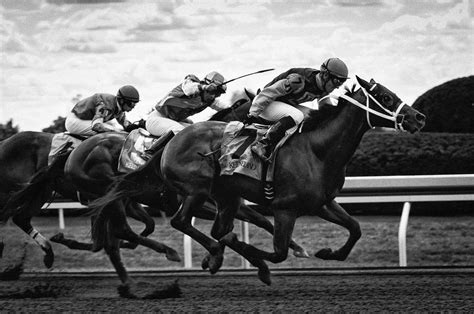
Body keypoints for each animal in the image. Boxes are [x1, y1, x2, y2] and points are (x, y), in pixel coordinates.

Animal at [137, 76, 426, 284]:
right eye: (386, 97)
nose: (419, 117)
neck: (317, 150)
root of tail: (173, 138)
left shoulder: (322, 203)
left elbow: (355, 228)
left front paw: (329, 253)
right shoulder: (285, 209)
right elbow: (279, 253)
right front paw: (257, 258)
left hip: (226, 196)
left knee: (217, 230)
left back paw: (223, 255)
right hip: (196, 191)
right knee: (182, 221)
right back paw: (218, 254)